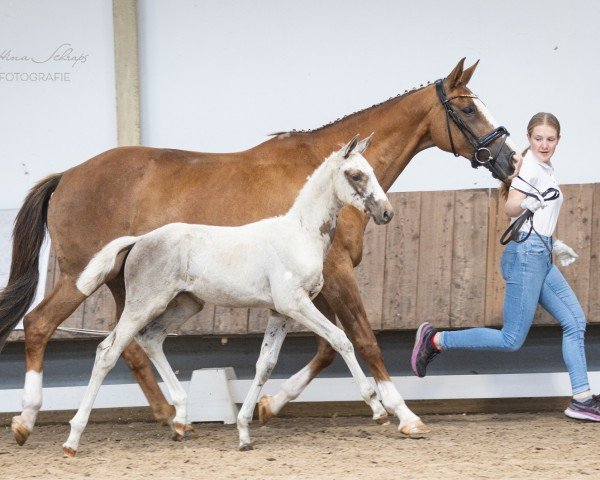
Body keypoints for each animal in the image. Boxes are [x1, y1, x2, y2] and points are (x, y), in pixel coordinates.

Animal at [0, 60, 516, 446]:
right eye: (468, 109)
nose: (509, 161)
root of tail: (67, 174)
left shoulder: (312, 287)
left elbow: (322, 349)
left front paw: (268, 406)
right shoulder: (336, 274)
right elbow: (361, 340)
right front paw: (402, 414)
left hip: (125, 285)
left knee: (131, 343)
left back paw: (172, 416)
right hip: (79, 275)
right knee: (43, 324)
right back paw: (28, 420)